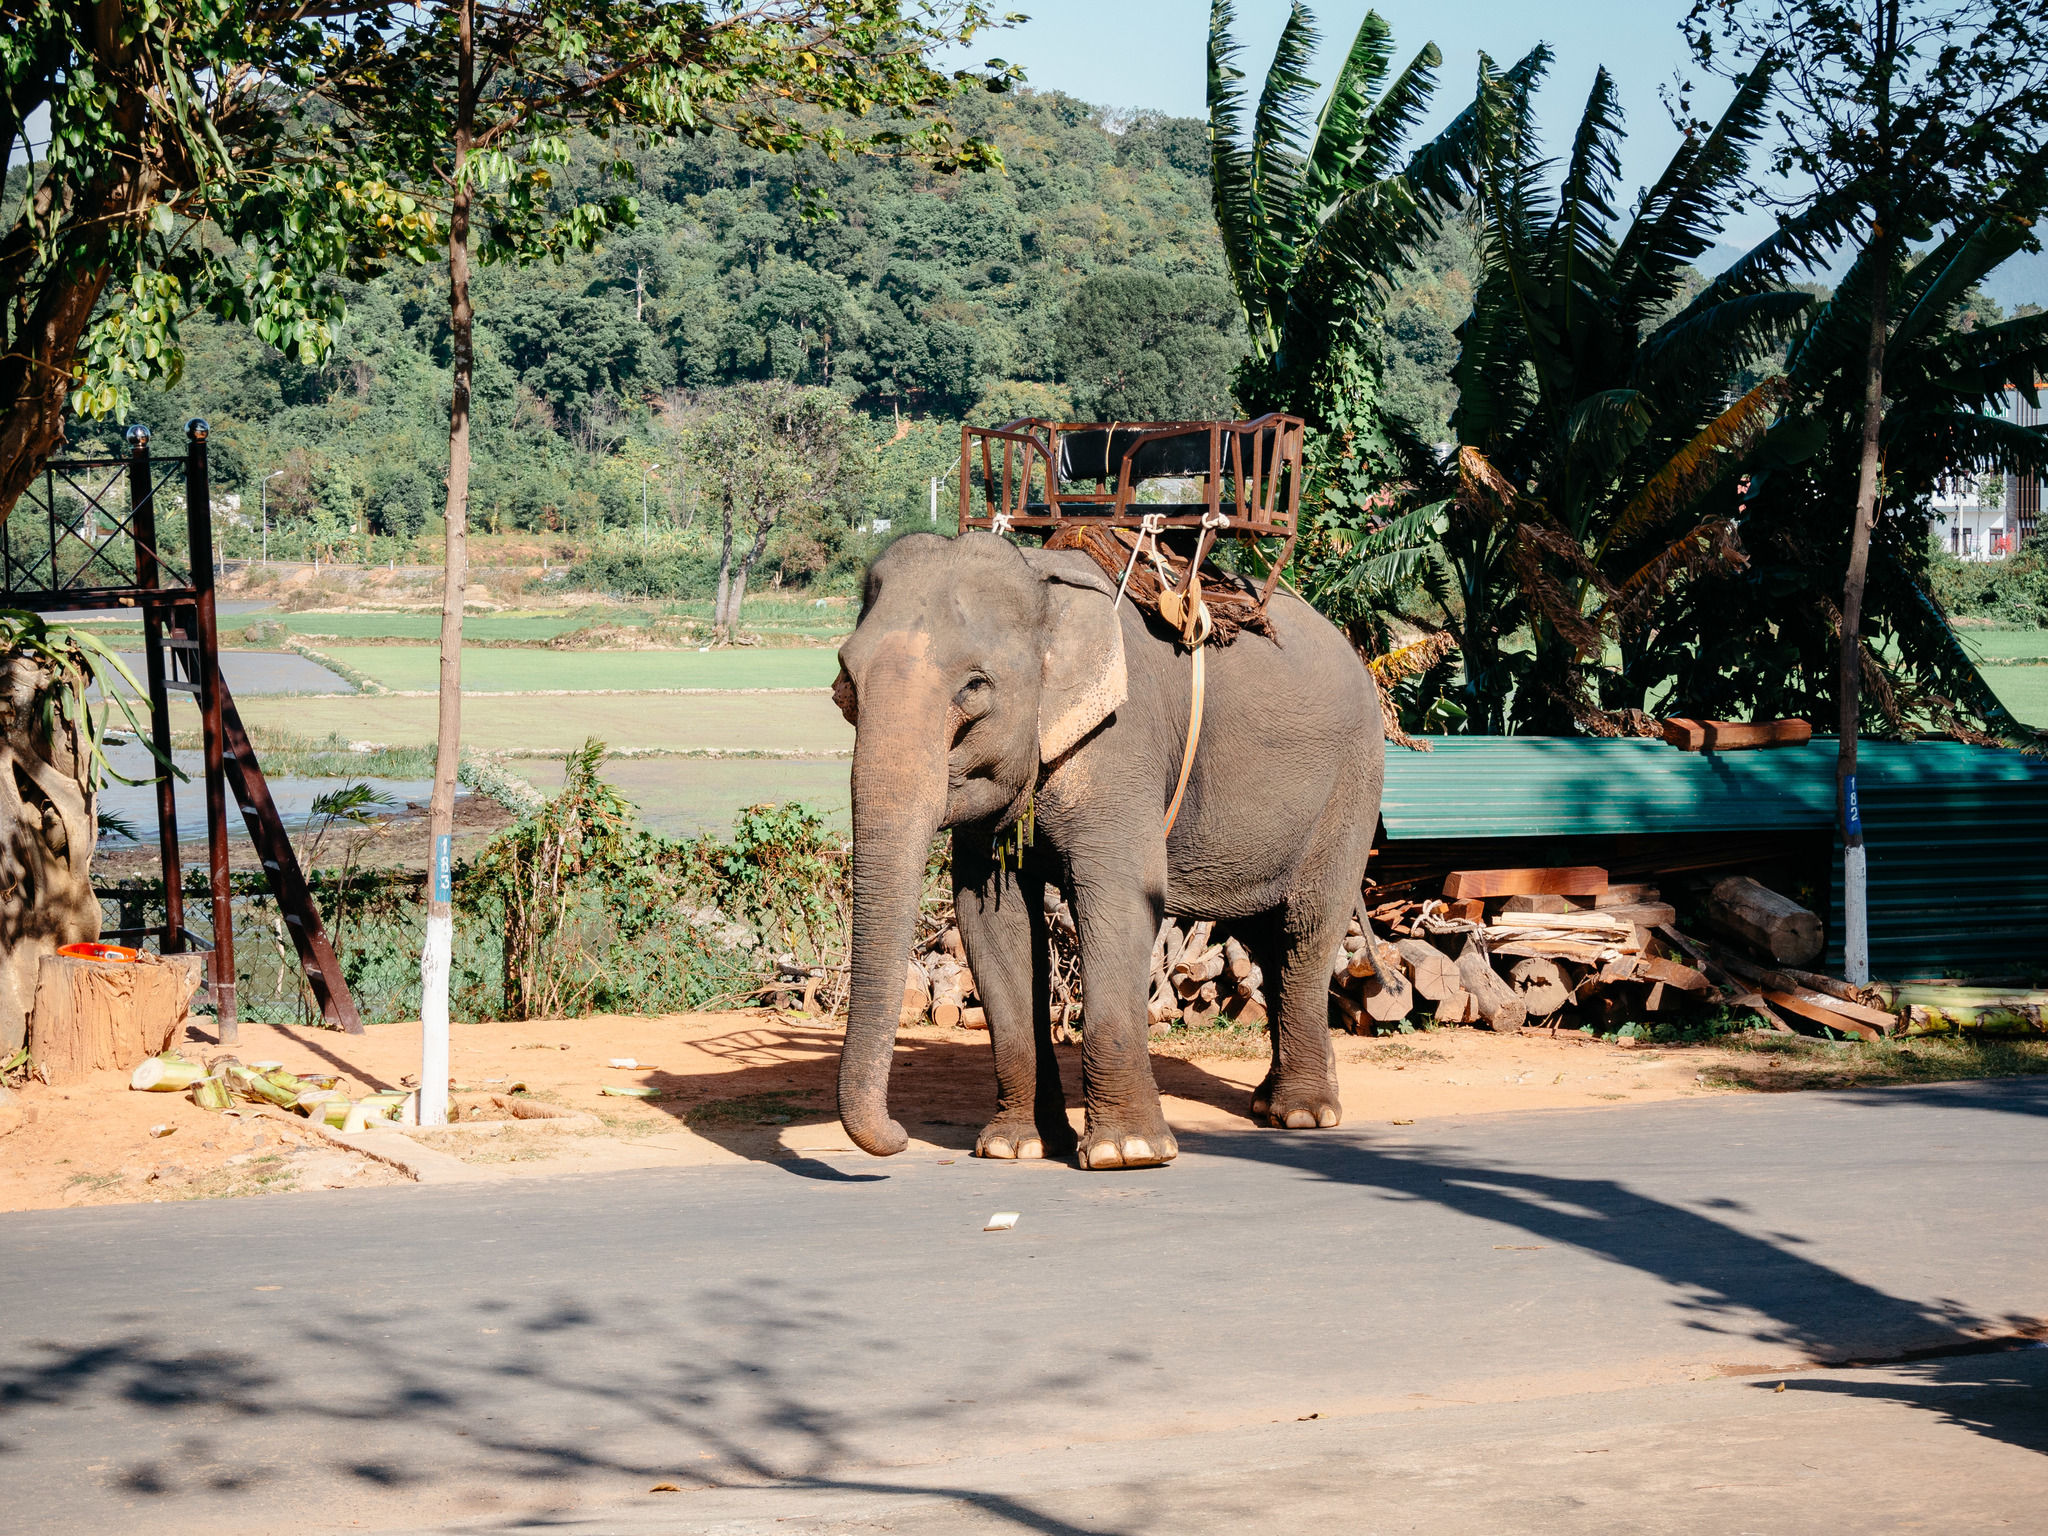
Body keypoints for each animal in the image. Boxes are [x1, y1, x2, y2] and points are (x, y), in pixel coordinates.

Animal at [835, 536, 1392, 1171]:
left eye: (975, 686)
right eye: (846, 681)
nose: (900, 1136)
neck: (1041, 582)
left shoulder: (1121, 744)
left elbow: (1119, 900)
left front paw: (1126, 1153)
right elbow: (992, 923)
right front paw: (1013, 1147)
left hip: (1352, 785)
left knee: (1306, 926)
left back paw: (1302, 1115)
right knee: (1265, 936)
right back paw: (1272, 1105)